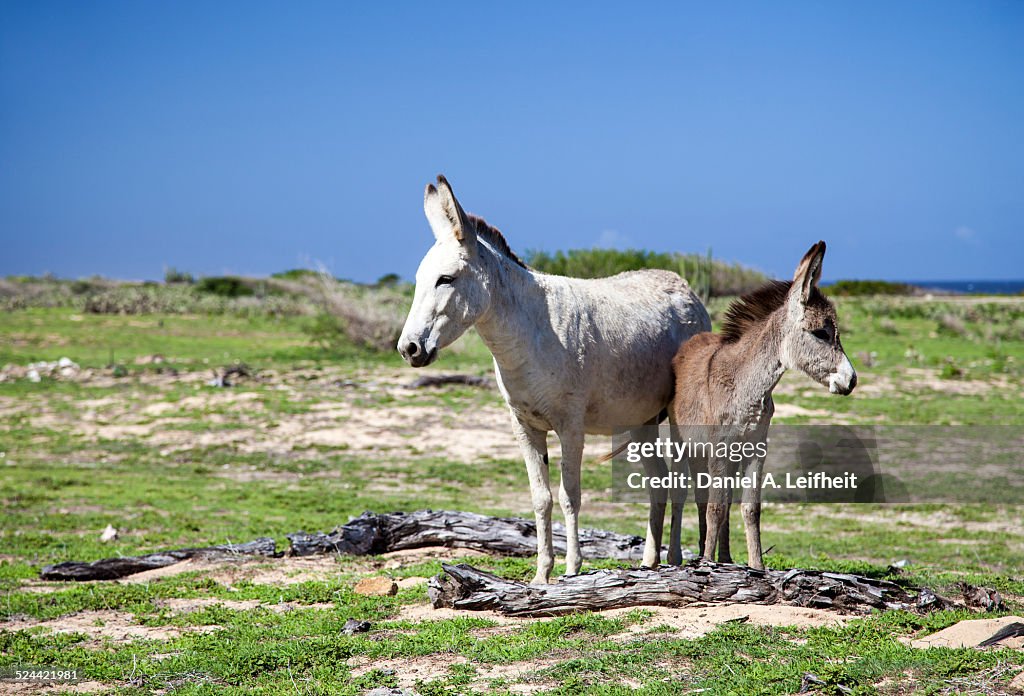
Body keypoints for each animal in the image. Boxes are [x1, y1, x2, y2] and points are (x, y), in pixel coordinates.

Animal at [671, 241, 856, 569]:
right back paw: (676, 558)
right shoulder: (719, 446)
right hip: (682, 443)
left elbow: (749, 508)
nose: (852, 380)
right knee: (684, 497)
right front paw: (706, 563)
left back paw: (725, 557)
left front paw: (756, 566)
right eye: (821, 333)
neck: (747, 387)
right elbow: (715, 507)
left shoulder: (756, 447)